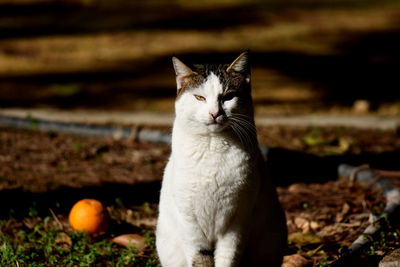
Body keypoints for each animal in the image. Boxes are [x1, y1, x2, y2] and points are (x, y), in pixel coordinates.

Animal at [156, 51, 288, 266]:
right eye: (199, 97)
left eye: (228, 97)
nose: (215, 113)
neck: (213, 145)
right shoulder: (190, 221)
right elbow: (200, 257)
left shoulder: (237, 220)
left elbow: (228, 257)